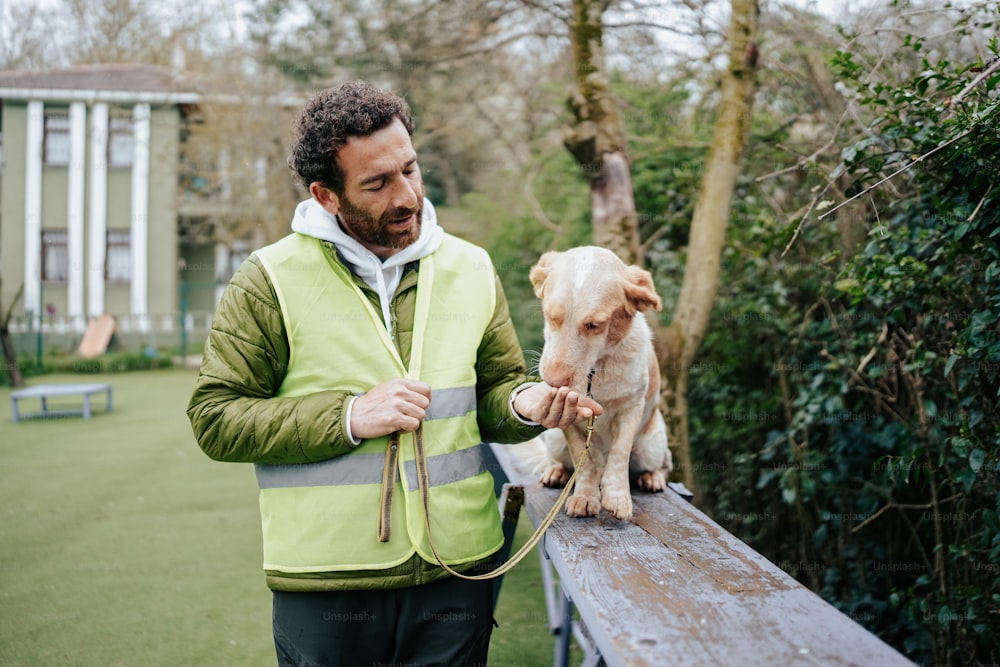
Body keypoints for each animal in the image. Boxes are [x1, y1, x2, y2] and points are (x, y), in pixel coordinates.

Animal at [524, 245, 672, 520]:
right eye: (550, 316)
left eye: (594, 325)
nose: (554, 382)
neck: (596, 374)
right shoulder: (569, 423)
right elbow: (585, 464)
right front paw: (585, 496)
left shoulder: (630, 409)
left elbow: (619, 455)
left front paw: (617, 497)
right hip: (555, 440)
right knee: (566, 462)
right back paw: (556, 471)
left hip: (652, 445)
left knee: (662, 464)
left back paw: (652, 477)